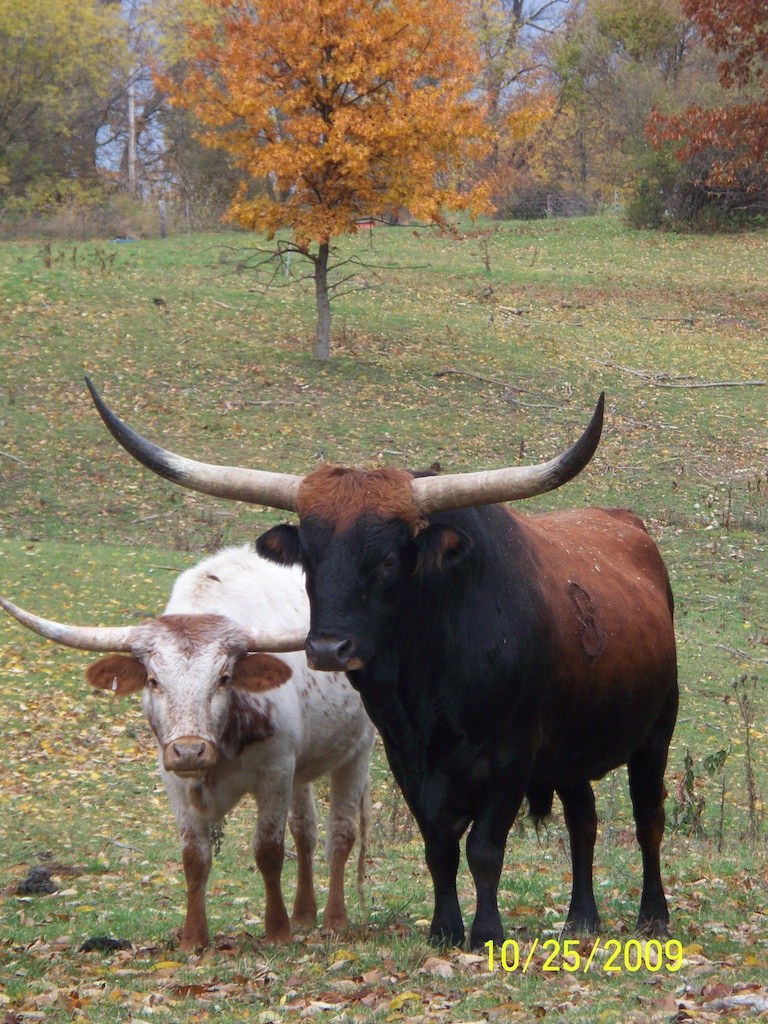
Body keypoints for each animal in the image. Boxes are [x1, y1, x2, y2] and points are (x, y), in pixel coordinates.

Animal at [1, 545, 375, 951]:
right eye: (153, 680)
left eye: (224, 678)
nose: (190, 751)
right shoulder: (175, 779)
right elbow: (194, 856)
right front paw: (194, 938)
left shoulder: (275, 771)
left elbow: (268, 850)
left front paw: (277, 931)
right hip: (300, 769)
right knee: (305, 831)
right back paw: (304, 915)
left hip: (359, 750)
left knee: (340, 833)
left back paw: (334, 919)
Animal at [84, 378, 678, 950]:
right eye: (309, 560)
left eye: (389, 561)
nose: (328, 649)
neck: (432, 683)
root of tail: (628, 526)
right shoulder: (405, 757)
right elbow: (438, 846)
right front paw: (444, 929)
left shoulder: (511, 755)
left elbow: (485, 848)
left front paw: (487, 932)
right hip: (570, 752)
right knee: (583, 821)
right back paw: (582, 918)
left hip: (655, 734)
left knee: (648, 818)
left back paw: (653, 915)